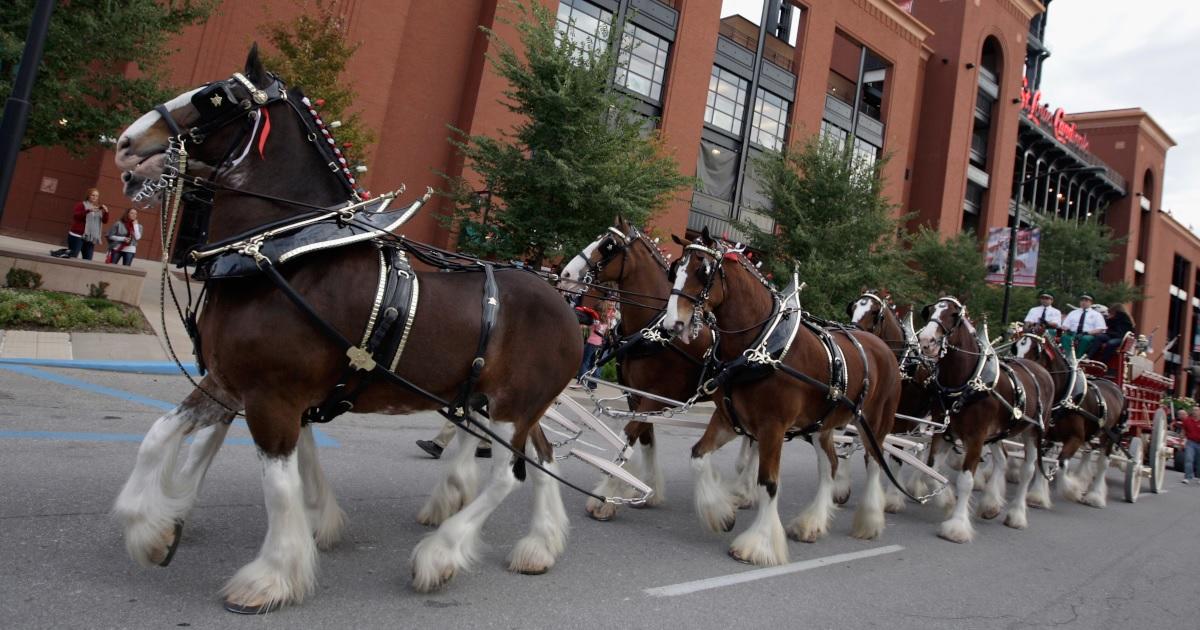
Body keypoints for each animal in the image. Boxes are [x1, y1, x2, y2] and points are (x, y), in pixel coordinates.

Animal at [111, 46, 585, 612]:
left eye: (214, 96)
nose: (125, 143)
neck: (278, 255)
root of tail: (567, 304)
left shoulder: (272, 396)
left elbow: (280, 487)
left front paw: (271, 576)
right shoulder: (229, 382)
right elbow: (159, 435)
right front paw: (152, 530)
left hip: (510, 407)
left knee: (507, 476)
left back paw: (440, 554)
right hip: (505, 405)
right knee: (541, 456)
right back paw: (540, 545)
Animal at [556, 218, 753, 523]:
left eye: (608, 245)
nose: (565, 273)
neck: (655, 332)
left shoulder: (654, 397)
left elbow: (628, 436)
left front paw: (607, 496)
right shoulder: (635, 396)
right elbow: (646, 438)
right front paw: (646, 490)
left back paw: (743, 490)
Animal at [667, 230, 902, 564]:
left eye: (703, 270)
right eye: (675, 268)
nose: (672, 324)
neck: (761, 346)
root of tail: (883, 347)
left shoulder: (772, 427)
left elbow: (768, 482)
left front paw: (758, 544)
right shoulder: (728, 418)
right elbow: (698, 456)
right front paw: (721, 514)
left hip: (875, 424)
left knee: (873, 463)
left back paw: (869, 521)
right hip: (822, 426)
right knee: (829, 465)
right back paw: (812, 523)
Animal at [912, 297, 1056, 537]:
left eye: (953, 315)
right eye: (930, 312)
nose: (926, 341)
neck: (967, 382)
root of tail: (1042, 371)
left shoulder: (976, 438)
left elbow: (965, 481)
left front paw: (957, 526)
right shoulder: (944, 431)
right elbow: (931, 471)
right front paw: (948, 501)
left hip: (1033, 432)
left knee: (1027, 470)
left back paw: (1017, 515)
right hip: (998, 432)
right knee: (1002, 459)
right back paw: (991, 505)